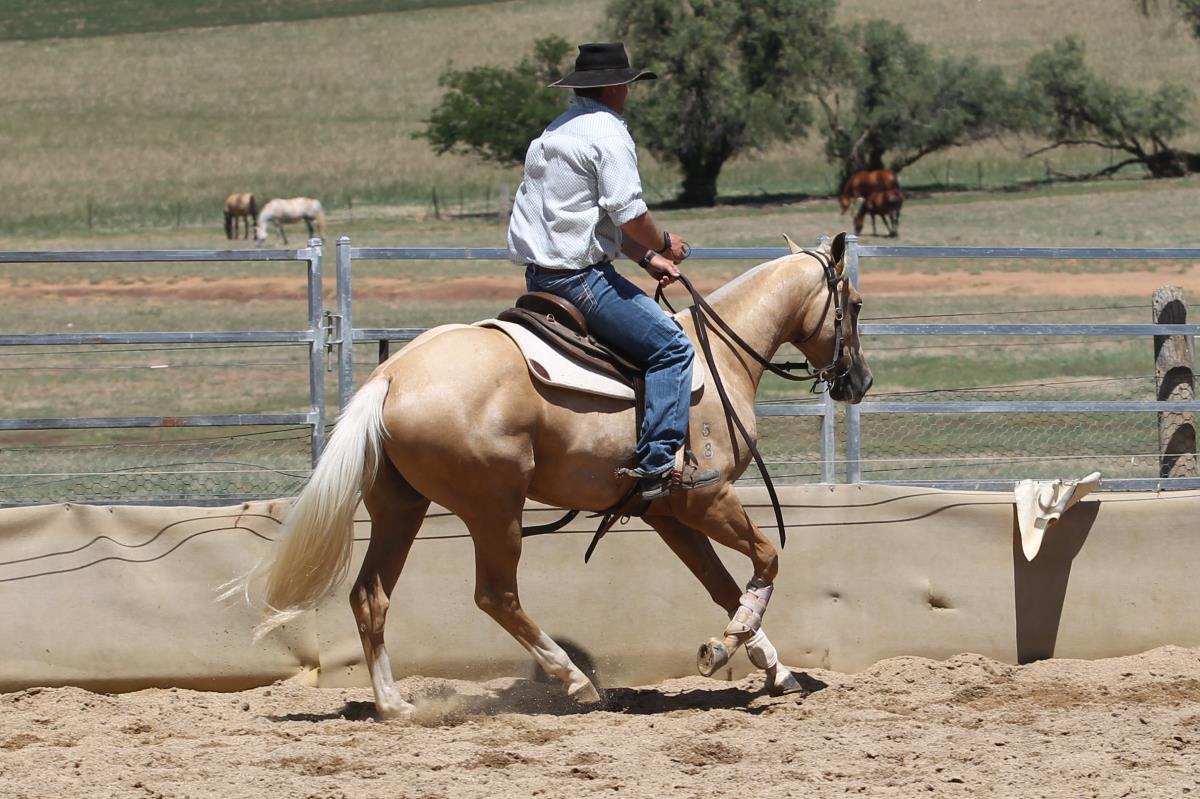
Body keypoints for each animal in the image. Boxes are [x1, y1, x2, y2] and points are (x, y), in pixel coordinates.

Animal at [224, 232, 873, 718]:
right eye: (857, 304)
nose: (860, 381)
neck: (719, 360)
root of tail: (392, 377)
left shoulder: (666, 514)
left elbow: (724, 585)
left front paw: (769, 665)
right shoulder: (706, 500)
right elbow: (766, 560)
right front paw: (727, 646)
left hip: (400, 508)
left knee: (371, 596)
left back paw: (394, 705)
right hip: (494, 510)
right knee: (496, 595)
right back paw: (578, 682)